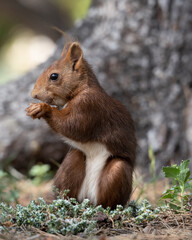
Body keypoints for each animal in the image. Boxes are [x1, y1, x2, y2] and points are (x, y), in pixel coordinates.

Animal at [25, 40, 136, 209]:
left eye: (54, 76)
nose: (34, 95)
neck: (81, 89)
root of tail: (88, 200)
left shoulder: (89, 106)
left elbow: (73, 126)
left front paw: (44, 108)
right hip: (73, 162)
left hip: (117, 171)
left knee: (109, 199)